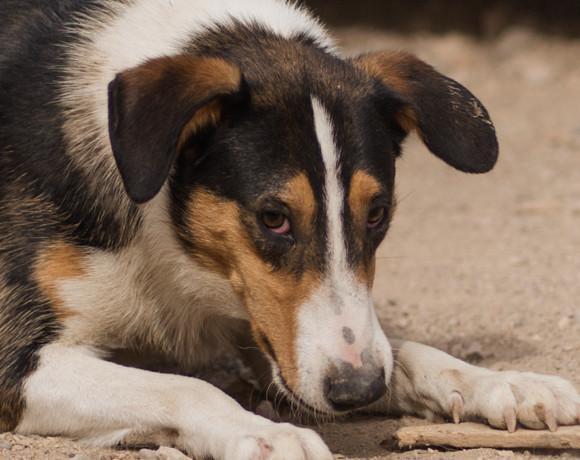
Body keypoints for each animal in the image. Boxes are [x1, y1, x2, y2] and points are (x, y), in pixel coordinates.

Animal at [1, 0, 580, 458]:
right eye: (273, 217)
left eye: (377, 213)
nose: (359, 390)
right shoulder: (17, 364)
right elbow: (184, 388)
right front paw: (264, 434)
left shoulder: (271, 330)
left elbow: (403, 349)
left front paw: (505, 382)